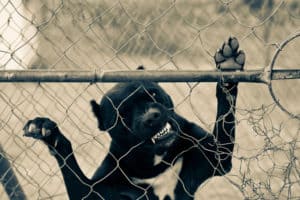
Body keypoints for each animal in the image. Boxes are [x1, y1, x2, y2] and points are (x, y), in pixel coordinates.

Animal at [22, 38, 244, 200]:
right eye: (123, 115)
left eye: (153, 93)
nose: (152, 117)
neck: (154, 161)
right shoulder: (95, 191)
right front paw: (48, 133)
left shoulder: (216, 156)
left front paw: (228, 69)